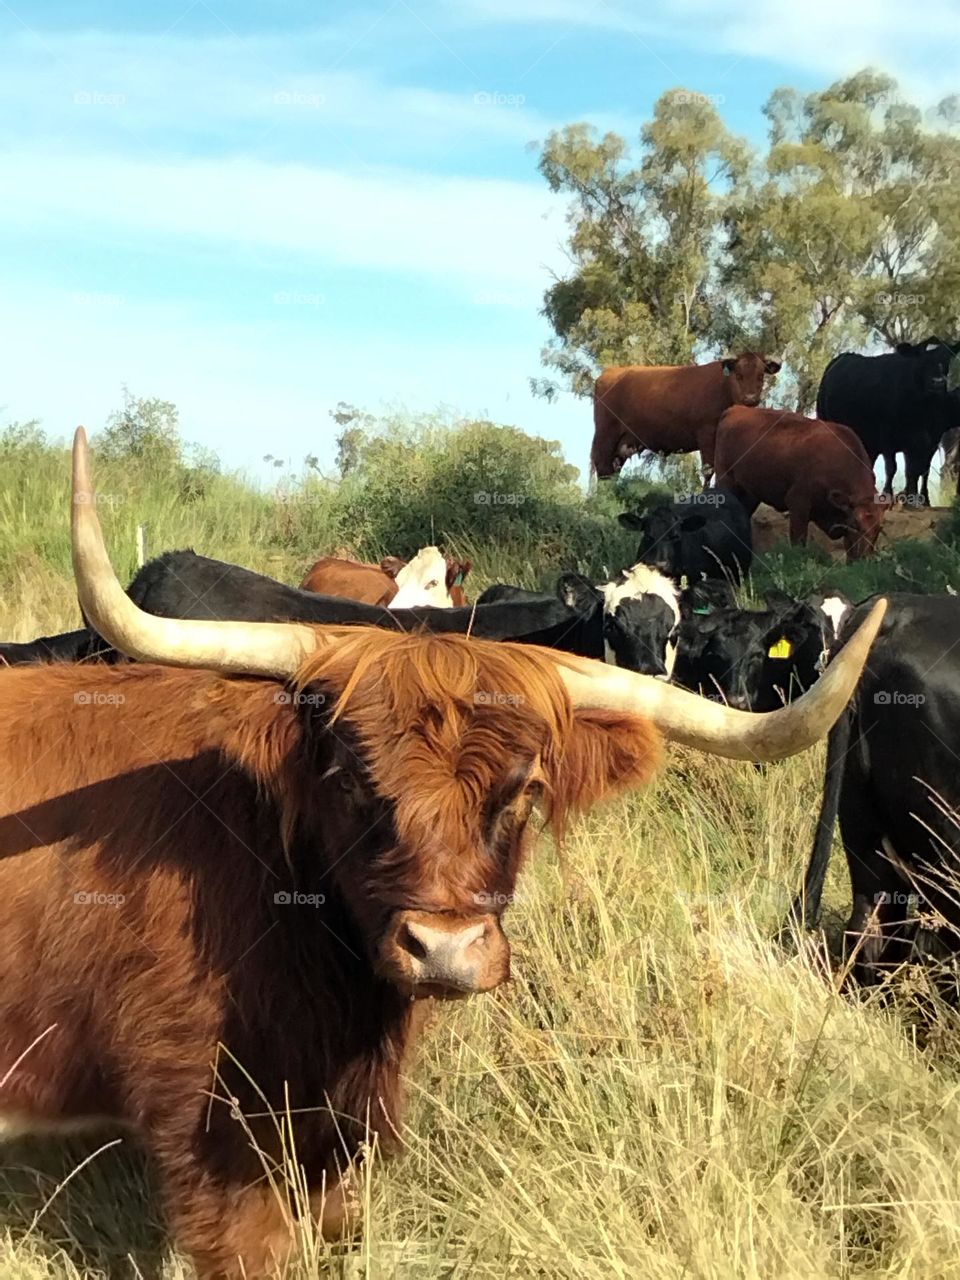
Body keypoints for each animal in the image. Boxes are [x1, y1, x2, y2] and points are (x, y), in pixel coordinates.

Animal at [591, 352, 782, 480]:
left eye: (760, 376)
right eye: (739, 375)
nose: (750, 398)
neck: (724, 387)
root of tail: (608, 373)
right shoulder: (707, 434)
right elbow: (709, 470)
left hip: (624, 443)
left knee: (613, 471)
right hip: (606, 435)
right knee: (603, 469)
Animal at [713, 407, 884, 561]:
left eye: (878, 529)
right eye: (855, 524)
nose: (865, 558)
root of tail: (734, 410)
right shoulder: (798, 504)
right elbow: (798, 541)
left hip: (750, 494)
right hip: (726, 481)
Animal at [817, 338, 960, 505]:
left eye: (947, 358)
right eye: (921, 359)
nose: (937, 382)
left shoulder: (927, 442)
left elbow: (917, 470)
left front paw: (916, 499)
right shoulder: (887, 437)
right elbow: (893, 468)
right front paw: (888, 494)